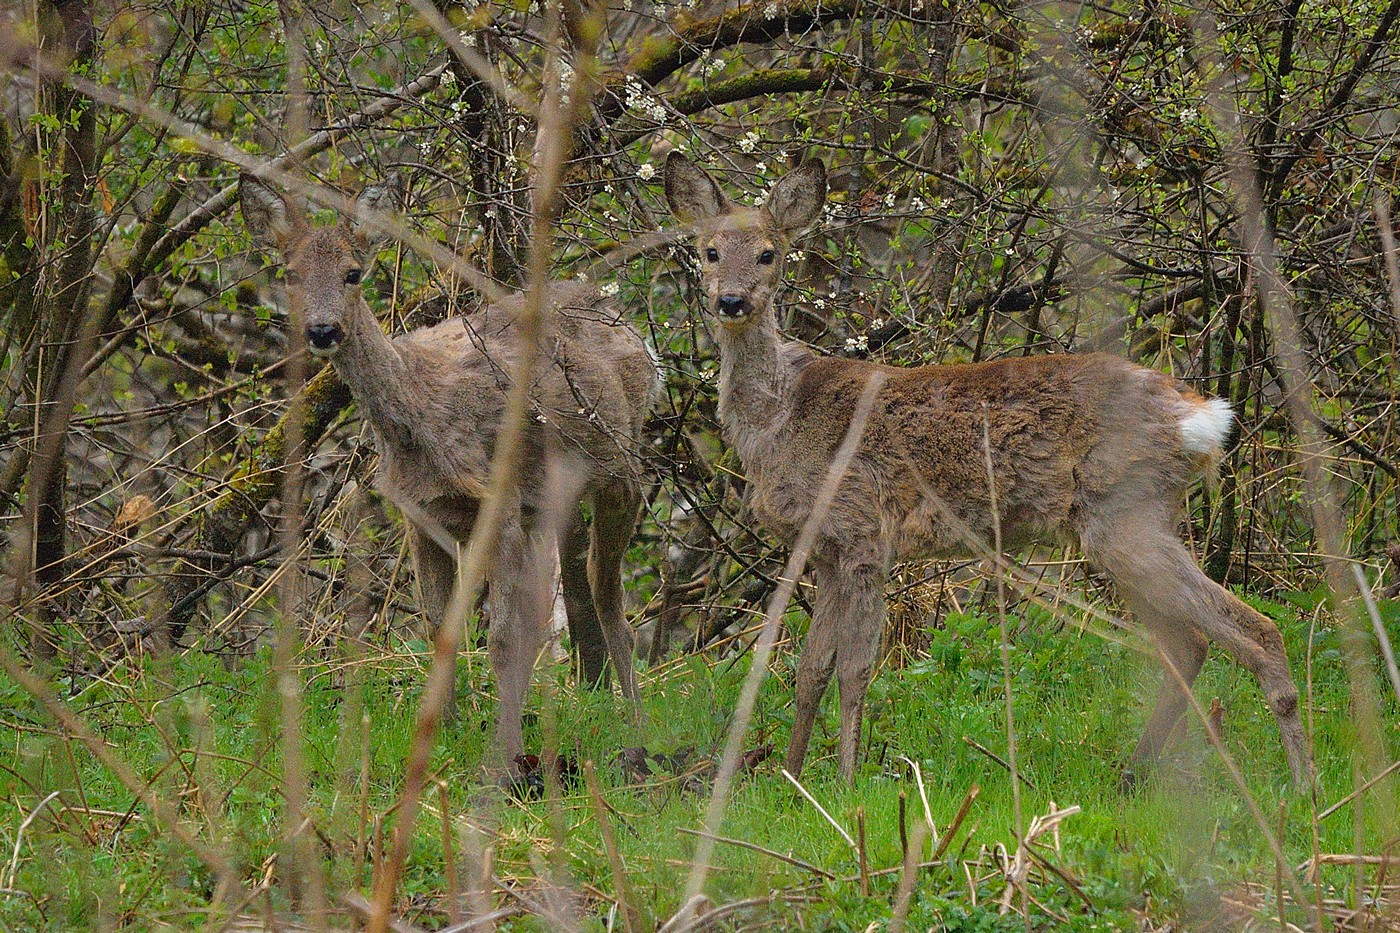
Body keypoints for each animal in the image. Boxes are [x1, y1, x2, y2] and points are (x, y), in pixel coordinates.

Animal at [660, 152, 1304, 784]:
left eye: (768, 253)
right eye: (709, 250)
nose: (731, 301)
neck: (780, 417)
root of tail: (1197, 415)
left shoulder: (864, 529)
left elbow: (854, 670)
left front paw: (845, 783)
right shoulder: (822, 547)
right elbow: (809, 669)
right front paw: (792, 777)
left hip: (1123, 516)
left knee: (1257, 631)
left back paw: (1303, 785)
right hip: (1134, 523)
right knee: (1190, 643)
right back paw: (1133, 777)